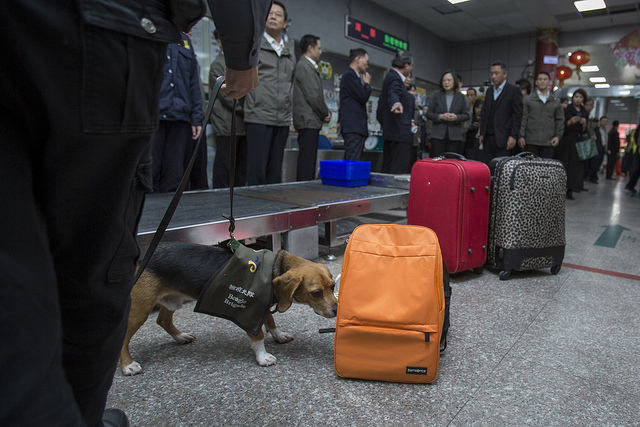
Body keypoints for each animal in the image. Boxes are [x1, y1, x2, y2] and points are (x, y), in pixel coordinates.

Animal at [121, 242, 340, 376]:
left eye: (332, 286)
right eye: (315, 293)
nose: (337, 310)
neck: (275, 268)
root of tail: (141, 257)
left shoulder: (263, 307)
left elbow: (271, 322)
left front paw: (278, 336)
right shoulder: (248, 311)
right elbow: (258, 336)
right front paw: (262, 357)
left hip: (171, 300)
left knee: (163, 320)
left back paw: (180, 337)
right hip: (141, 309)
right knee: (124, 337)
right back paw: (127, 365)